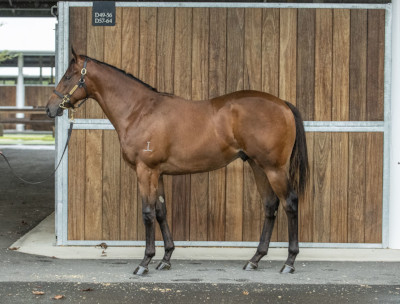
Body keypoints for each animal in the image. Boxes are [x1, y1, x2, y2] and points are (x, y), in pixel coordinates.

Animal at [47, 49, 310, 276]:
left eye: (68, 76)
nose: (50, 108)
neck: (139, 111)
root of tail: (283, 104)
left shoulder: (145, 171)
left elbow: (147, 213)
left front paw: (145, 262)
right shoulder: (159, 173)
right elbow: (161, 212)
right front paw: (165, 259)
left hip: (274, 169)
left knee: (290, 203)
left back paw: (289, 262)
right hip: (258, 166)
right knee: (270, 205)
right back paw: (254, 259)